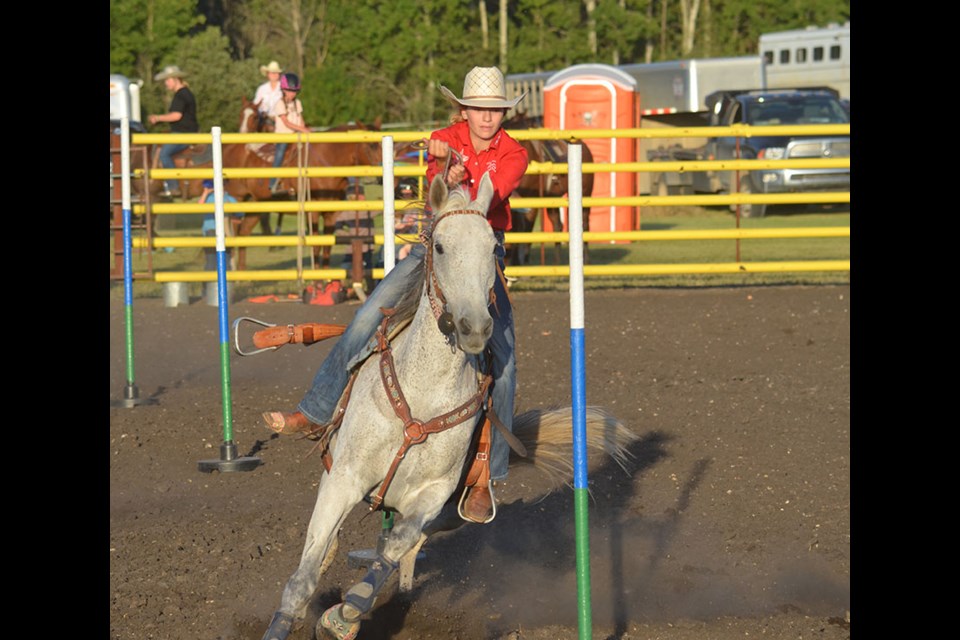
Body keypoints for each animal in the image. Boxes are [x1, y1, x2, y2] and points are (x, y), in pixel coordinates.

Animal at [258, 171, 640, 640]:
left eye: (494, 248)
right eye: (438, 246)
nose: (473, 326)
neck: (423, 393)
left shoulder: (432, 495)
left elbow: (396, 546)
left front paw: (345, 614)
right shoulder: (343, 478)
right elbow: (304, 575)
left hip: (454, 510)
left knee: (407, 547)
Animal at [502, 112, 592, 264]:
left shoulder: (530, 200)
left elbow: (526, 229)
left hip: (585, 193)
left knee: (584, 224)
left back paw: (585, 258)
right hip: (553, 199)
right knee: (557, 225)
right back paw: (557, 262)